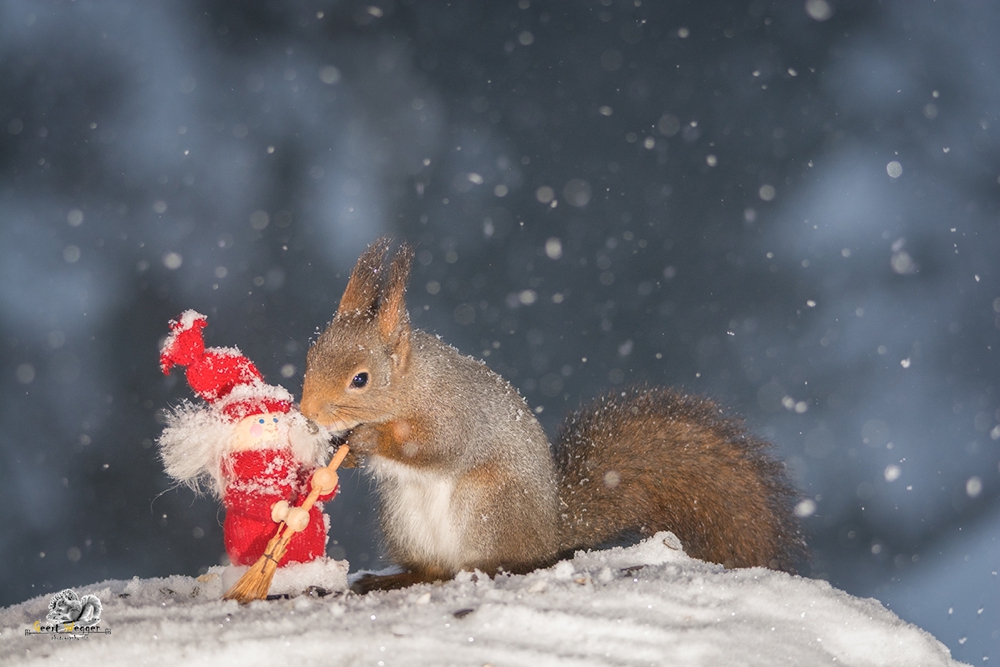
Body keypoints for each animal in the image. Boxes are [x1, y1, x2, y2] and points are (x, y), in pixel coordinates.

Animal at [300, 239, 808, 588]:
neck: (412, 386)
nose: (307, 413)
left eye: (360, 379)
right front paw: (341, 446)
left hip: (487, 508)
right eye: (311, 356)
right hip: (406, 520)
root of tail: (548, 533)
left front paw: (367, 440)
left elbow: (434, 447)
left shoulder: (457, 415)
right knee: (432, 569)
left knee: (491, 563)